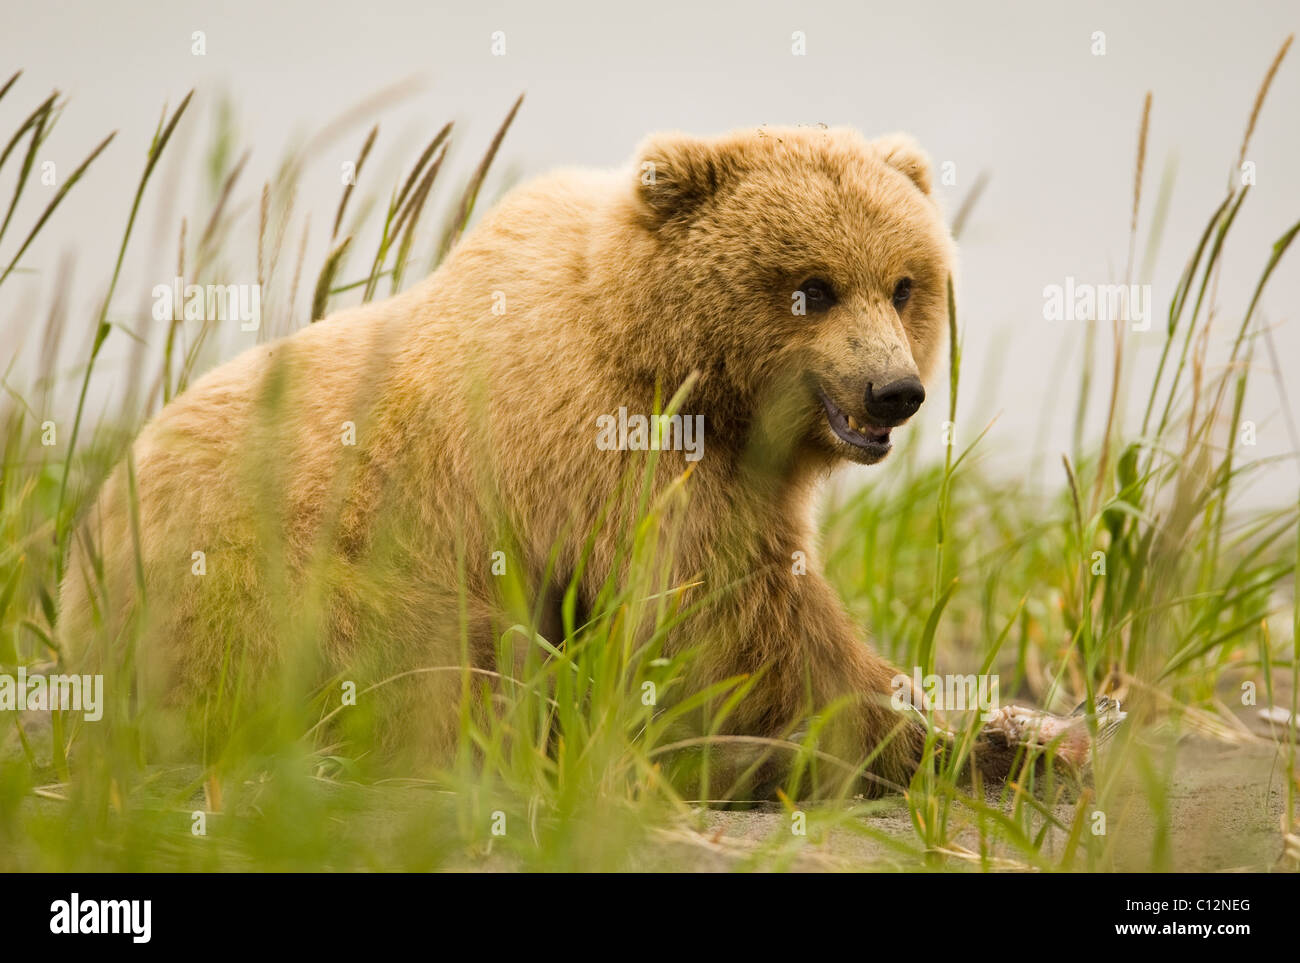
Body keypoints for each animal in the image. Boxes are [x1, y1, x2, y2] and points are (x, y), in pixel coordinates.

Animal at [61, 124, 1097, 790]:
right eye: (813, 286)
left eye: (905, 283)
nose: (894, 392)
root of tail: (79, 573)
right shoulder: (615, 455)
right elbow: (737, 629)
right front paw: (988, 739)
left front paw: (1005, 722)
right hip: (291, 591)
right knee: (441, 681)